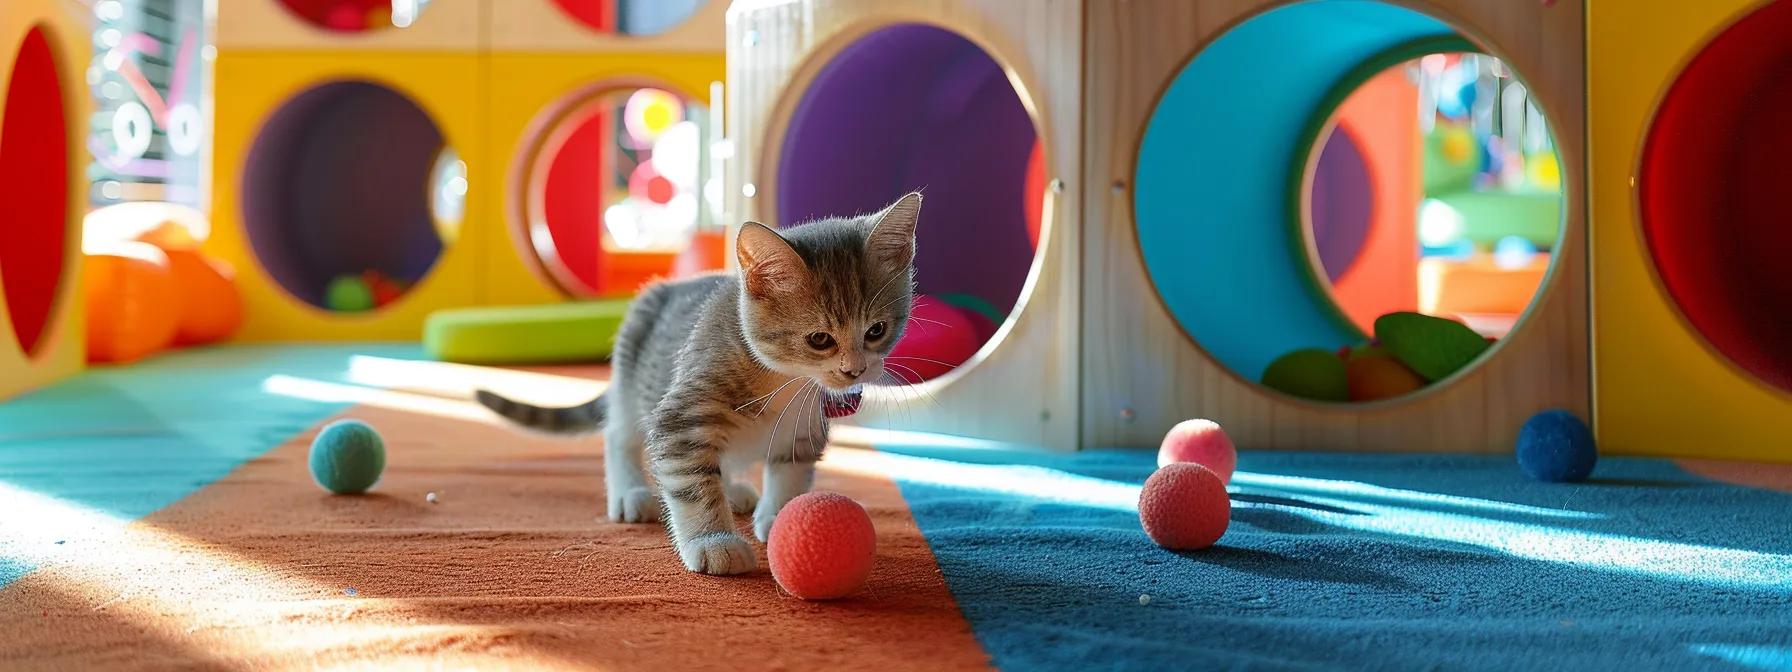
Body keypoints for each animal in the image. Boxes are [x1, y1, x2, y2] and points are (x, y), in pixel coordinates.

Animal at [476, 191, 924, 577]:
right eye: (820, 339)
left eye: (876, 331)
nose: (855, 371)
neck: (787, 382)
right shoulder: (681, 416)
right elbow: (690, 479)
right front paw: (713, 540)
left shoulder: (805, 428)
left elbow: (791, 471)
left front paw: (780, 516)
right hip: (630, 375)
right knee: (619, 434)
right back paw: (630, 492)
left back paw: (736, 489)